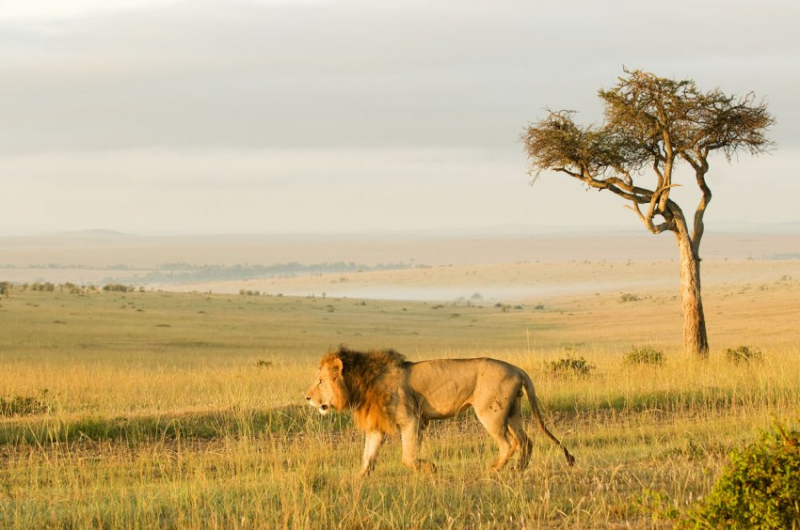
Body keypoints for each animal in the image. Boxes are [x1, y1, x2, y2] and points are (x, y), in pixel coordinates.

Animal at [306, 346, 576, 474]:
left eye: (320, 381)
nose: (307, 398)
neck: (361, 383)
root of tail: (518, 369)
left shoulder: (411, 419)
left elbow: (407, 457)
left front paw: (430, 468)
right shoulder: (376, 427)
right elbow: (367, 457)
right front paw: (355, 479)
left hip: (490, 413)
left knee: (509, 443)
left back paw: (494, 469)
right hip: (512, 412)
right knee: (526, 440)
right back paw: (519, 469)